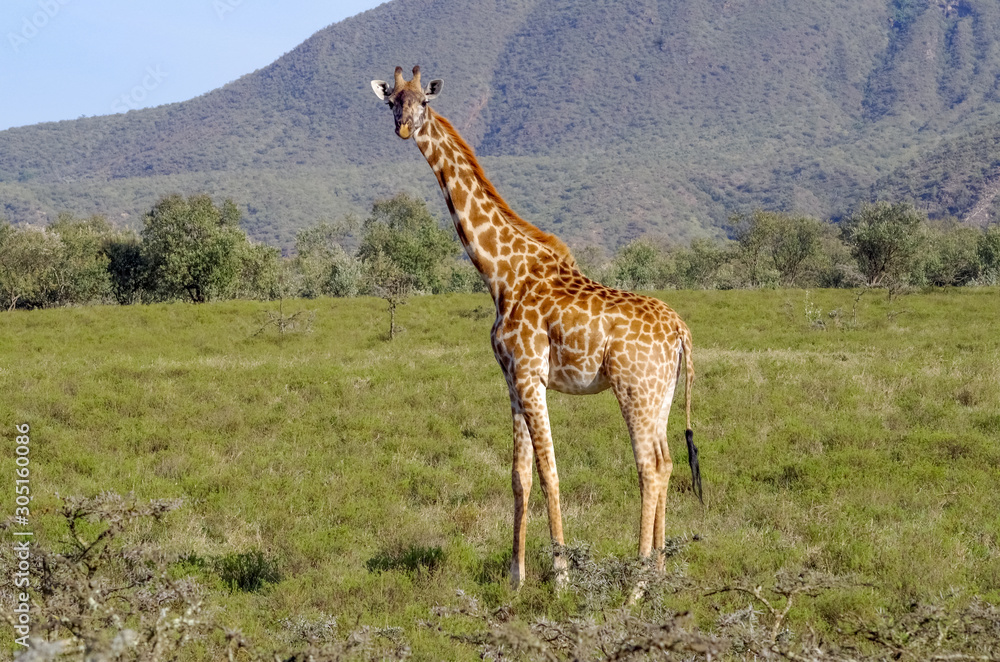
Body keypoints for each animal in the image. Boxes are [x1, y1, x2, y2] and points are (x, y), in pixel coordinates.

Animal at [371, 66, 701, 588]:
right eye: (391, 102)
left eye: (423, 101)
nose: (404, 129)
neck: (501, 273)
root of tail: (681, 331)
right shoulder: (511, 379)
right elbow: (519, 474)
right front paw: (516, 576)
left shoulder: (530, 374)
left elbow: (549, 470)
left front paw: (561, 574)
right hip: (662, 392)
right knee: (667, 463)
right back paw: (660, 572)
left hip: (634, 388)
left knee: (649, 467)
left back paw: (636, 585)